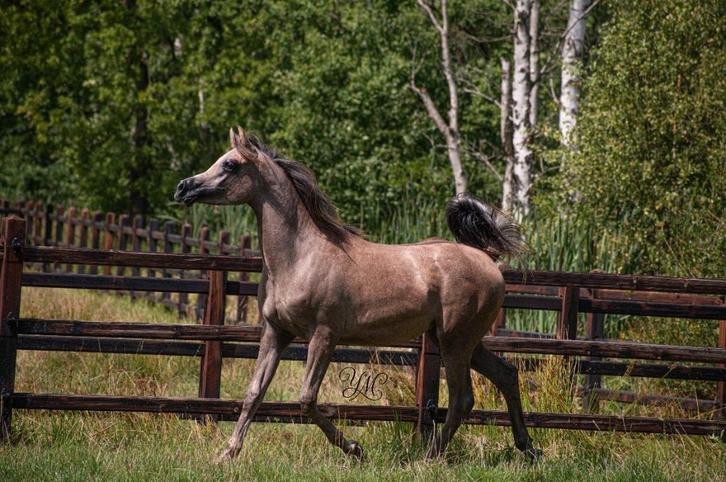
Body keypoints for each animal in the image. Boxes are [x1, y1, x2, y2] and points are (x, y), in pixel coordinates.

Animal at [174, 127, 537, 462]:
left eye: (231, 164)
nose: (184, 188)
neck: (301, 256)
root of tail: (488, 258)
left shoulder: (324, 336)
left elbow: (306, 399)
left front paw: (355, 448)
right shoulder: (276, 332)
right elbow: (254, 393)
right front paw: (226, 455)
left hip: (455, 341)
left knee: (463, 399)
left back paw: (428, 457)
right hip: (460, 340)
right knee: (506, 375)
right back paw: (528, 449)